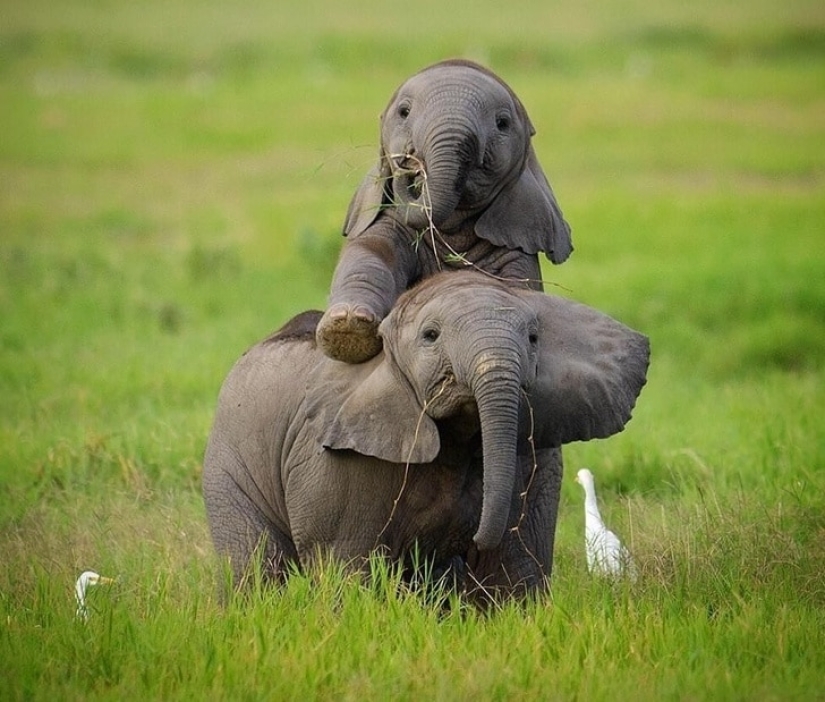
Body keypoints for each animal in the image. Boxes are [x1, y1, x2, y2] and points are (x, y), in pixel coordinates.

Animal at [203, 272, 648, 604]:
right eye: (430, 336)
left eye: (534, 338)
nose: (472, 537)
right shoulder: (337, 461)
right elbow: (347, 563)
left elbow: (514, 563)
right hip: (229, 461)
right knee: (255, 565)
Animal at [316, 59, 572, 366]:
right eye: (404, 112)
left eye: (502, 123)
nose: (408, 161)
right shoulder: (387, 220)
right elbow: (371, 253)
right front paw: (347, 329)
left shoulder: (516, 245)